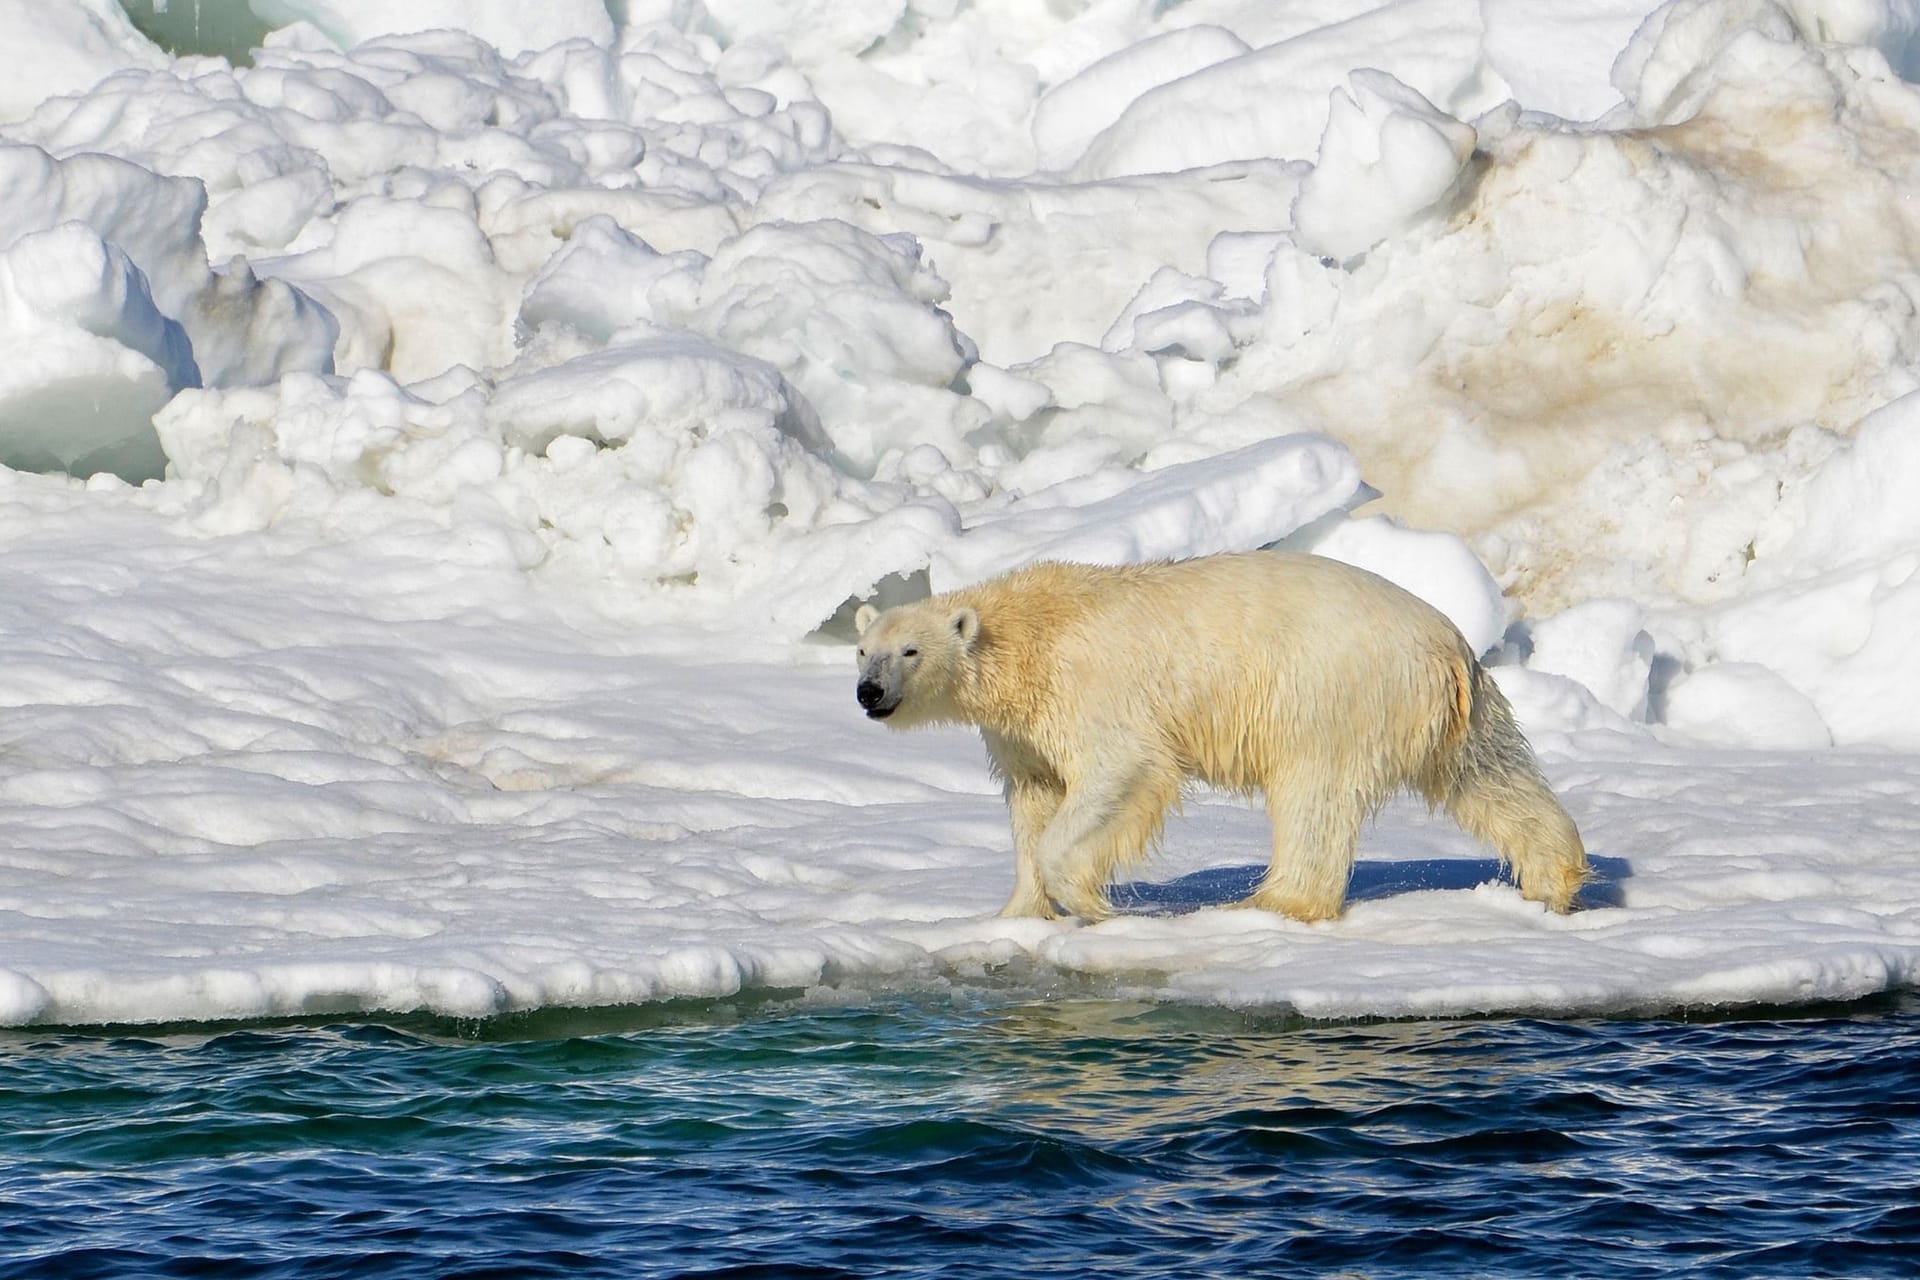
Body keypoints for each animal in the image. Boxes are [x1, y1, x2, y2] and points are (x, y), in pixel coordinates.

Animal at [856, 552, 1589, 921]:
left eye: (910, 651)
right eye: (864, 650)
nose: (869, 692)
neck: (1030, 634)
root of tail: (1447, 646)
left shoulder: (1092, 690)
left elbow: (1121, 771)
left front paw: (1090, 903)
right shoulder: (1022, 730)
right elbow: (1034, 799)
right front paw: (1017, 913)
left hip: (1330, 692)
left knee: (1313, 796)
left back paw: (1273, 902)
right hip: (1456, 710)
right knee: (1491, 776)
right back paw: (1553, 881)